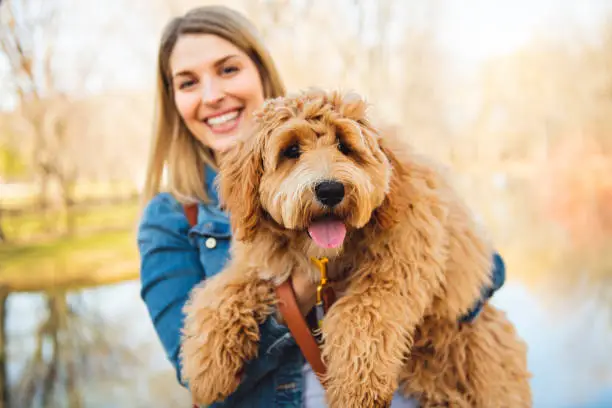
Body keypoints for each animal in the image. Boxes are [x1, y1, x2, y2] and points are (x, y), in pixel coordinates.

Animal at [180, 89, 532, 408]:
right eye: (291, 150)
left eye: (344, 146)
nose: (330, 190)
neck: (326, 255)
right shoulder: (268, 265)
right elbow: (221, 293)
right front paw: (207, 369)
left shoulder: (397, 267)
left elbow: (361, 315)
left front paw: (355, 390)